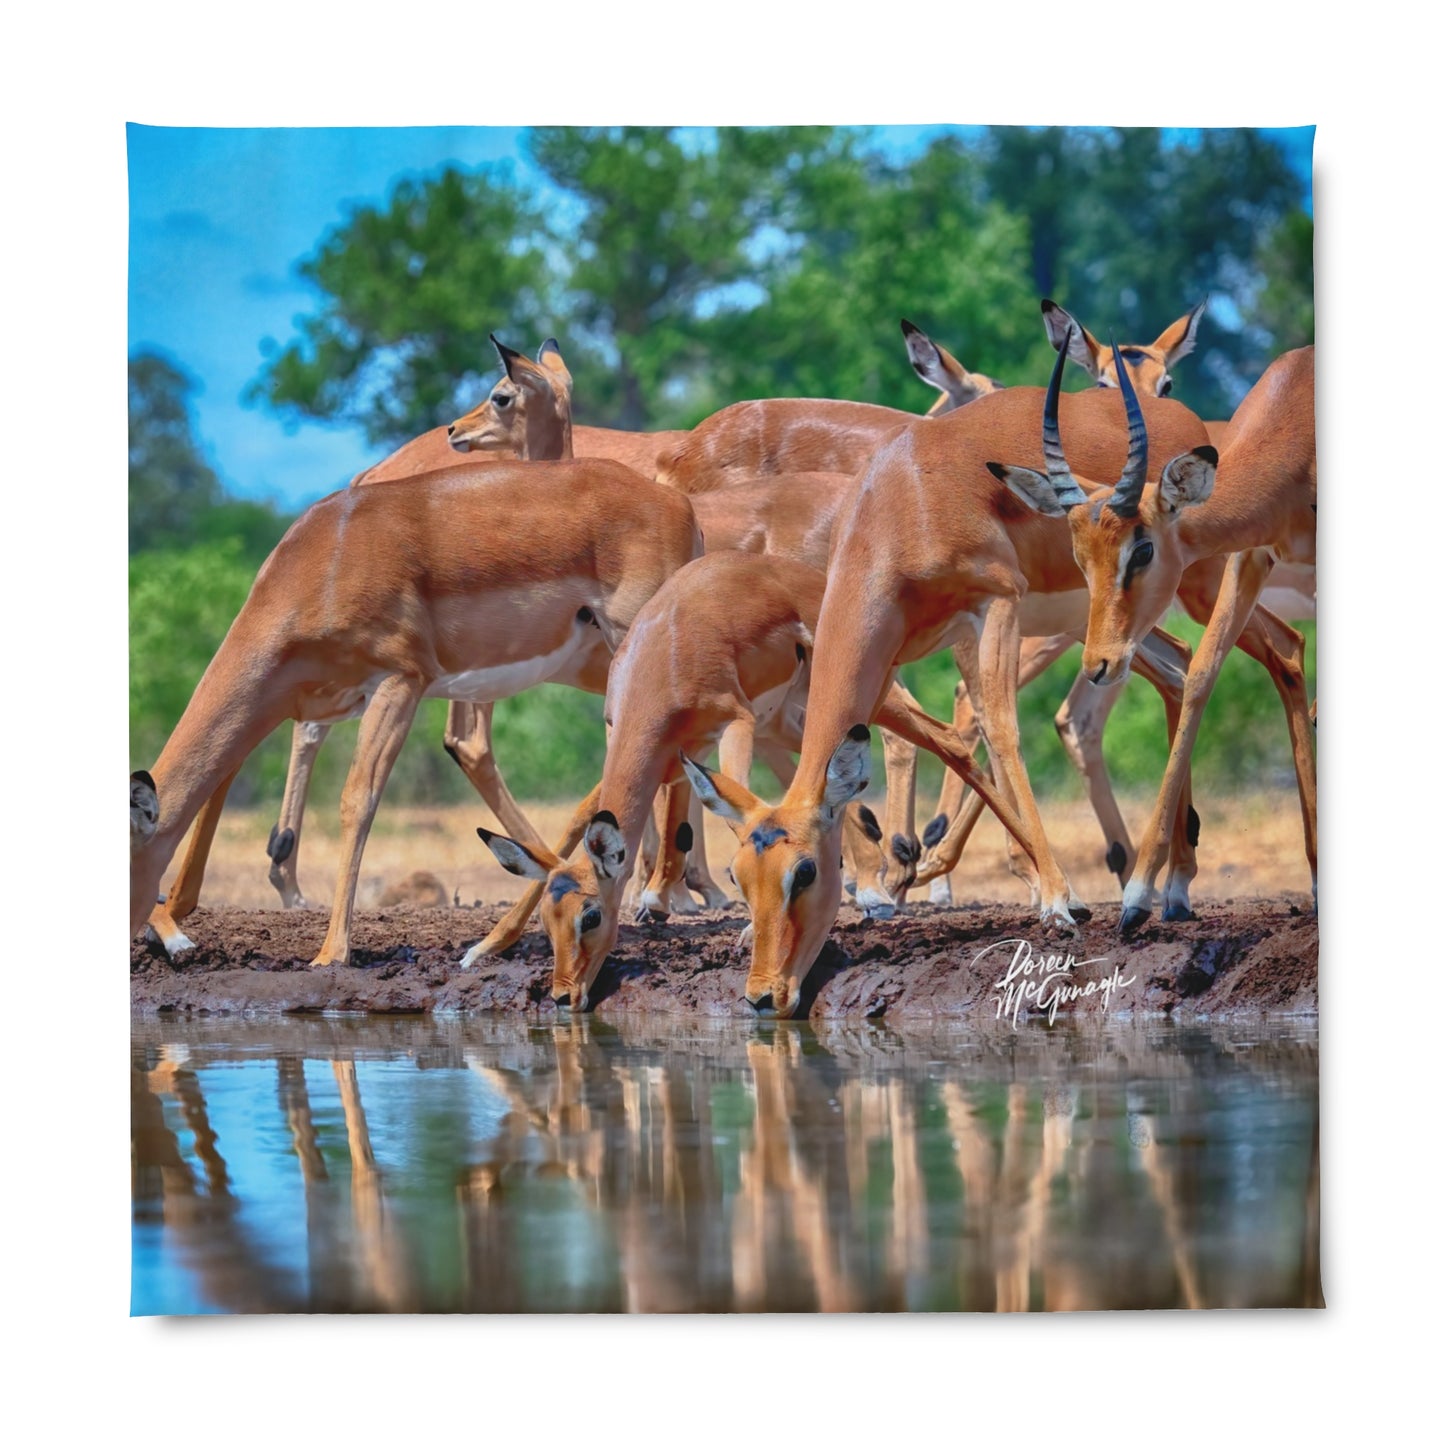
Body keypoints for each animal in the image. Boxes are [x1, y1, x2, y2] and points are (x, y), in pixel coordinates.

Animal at [133, 459, 701, 966]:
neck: (325, 559)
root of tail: (680, 507)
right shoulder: (291, 705)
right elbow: (215, 795)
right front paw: (173, 921)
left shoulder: (400, 682)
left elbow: (357, 800)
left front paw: (330, 953)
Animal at [467, 549, 1037, 1011]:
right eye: (550, 919)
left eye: (590, 917)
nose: (563, 997)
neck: (664, 653)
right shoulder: (661, 753)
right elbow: (580, 821)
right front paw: (485, 946)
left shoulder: (734, 724)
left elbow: (737, 816)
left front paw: (737, 925)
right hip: (788, 720)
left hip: (857, 701)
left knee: (951, 741)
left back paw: (1030, 884)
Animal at [988, 344, 1316, 933]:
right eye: (1081, 557)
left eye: (1142, 550)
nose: (1098, 663)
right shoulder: (1252, 553)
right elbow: (1202, 671)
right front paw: (1140, 894)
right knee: (1280, 652)